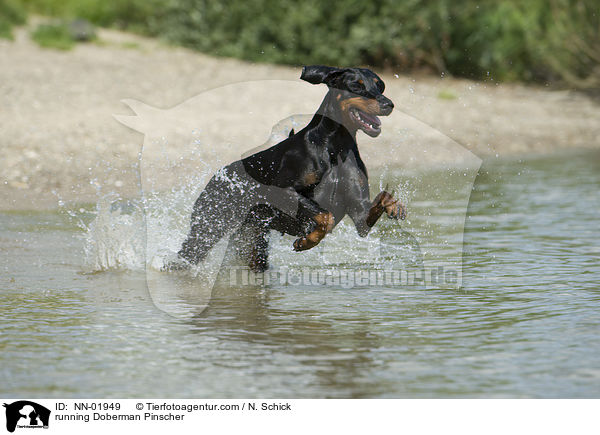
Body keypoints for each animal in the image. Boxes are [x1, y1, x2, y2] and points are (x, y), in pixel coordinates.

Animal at [173, 64, 408, 272]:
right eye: (356, 86)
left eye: (380, 86)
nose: (388, 104)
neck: (335, 146)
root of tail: (217, 176)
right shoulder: (282, 191)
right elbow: (325, 216)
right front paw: (306, 241)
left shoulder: (360, 215)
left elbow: (376, 204)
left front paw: (395, 205)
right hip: (208, 229)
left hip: (254, 241)